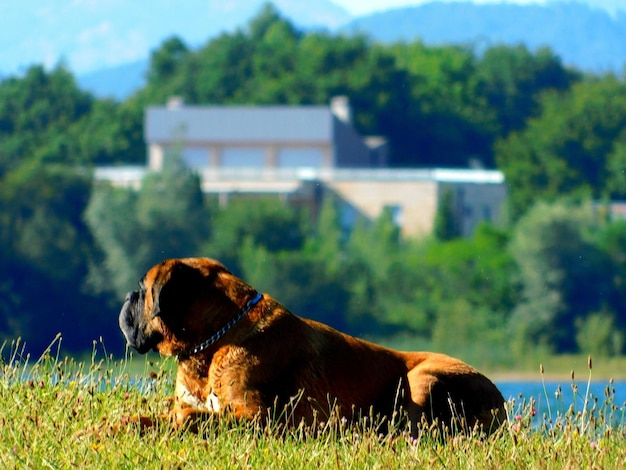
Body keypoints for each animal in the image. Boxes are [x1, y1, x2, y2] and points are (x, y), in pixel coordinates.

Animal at [118, 258, 508, 436]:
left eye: (143, 289)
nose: (127, 295)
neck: (213, 342)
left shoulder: (258, 417)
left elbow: (192, 416)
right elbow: (158, 417)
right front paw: (121, 424)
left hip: (422, 379)